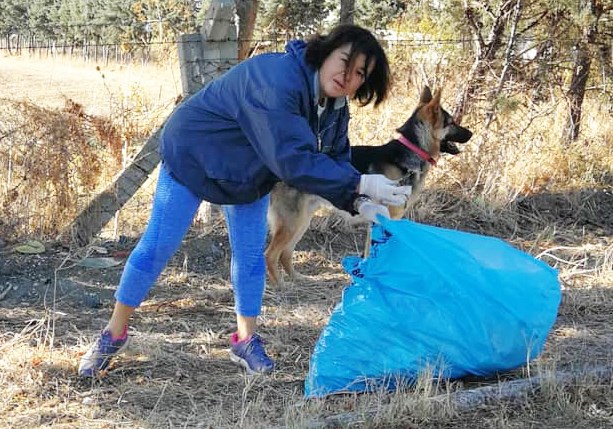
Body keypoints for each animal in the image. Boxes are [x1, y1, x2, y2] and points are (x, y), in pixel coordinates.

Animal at [264, 86, 474, 284]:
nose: (472, 133)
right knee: (271, 254)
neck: (411, 151)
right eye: (451, 123)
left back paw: (297, 278)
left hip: (302, 221)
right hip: (292, 223)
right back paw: (281, 286)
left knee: (285, 254)